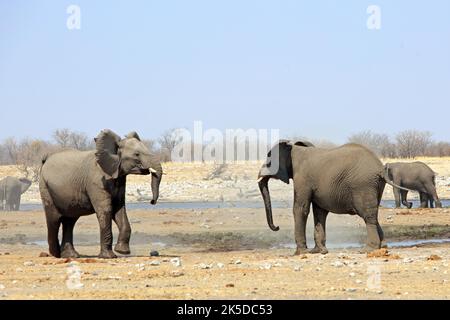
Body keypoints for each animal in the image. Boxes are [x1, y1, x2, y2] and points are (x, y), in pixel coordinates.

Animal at [38, 129, 162, 258]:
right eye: (137, 154)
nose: (152, 201)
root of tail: (46, 159)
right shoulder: (97, 181)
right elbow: (106, 210)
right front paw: (109, 256)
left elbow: (119, 209)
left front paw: (122, 251)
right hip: (45, 187)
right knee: (54, 219)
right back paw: (55, 254)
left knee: (70, 220)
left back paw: (71, 255)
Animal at [256, 141, 412, 254]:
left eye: (269, 162)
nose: (277, 227)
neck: (294, 148)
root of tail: (380, 168)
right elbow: (319, 212)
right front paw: (318, 251)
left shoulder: (303, 179)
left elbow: (301, 209)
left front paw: (300, 253)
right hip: (376, 185)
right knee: (373, 215)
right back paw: (383, 246)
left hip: (363, 185)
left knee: (367, 216)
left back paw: (368, 249)